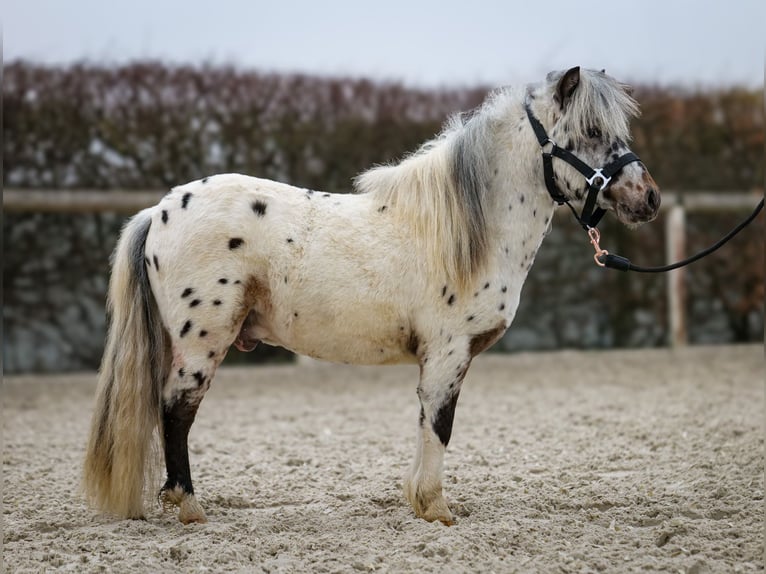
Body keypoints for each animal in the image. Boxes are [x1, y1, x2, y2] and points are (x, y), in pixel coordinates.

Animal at [82, 66, 660, 528]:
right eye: (591, 131)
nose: (649, 198)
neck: (465, 230)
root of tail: (158, 211)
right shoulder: (448, 353)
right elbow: (440, 425)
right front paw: (437, 509)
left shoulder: (438, 359)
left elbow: (427, 423)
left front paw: (421, 502)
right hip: (201, 343)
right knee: (177, 411)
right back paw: (190, 508)